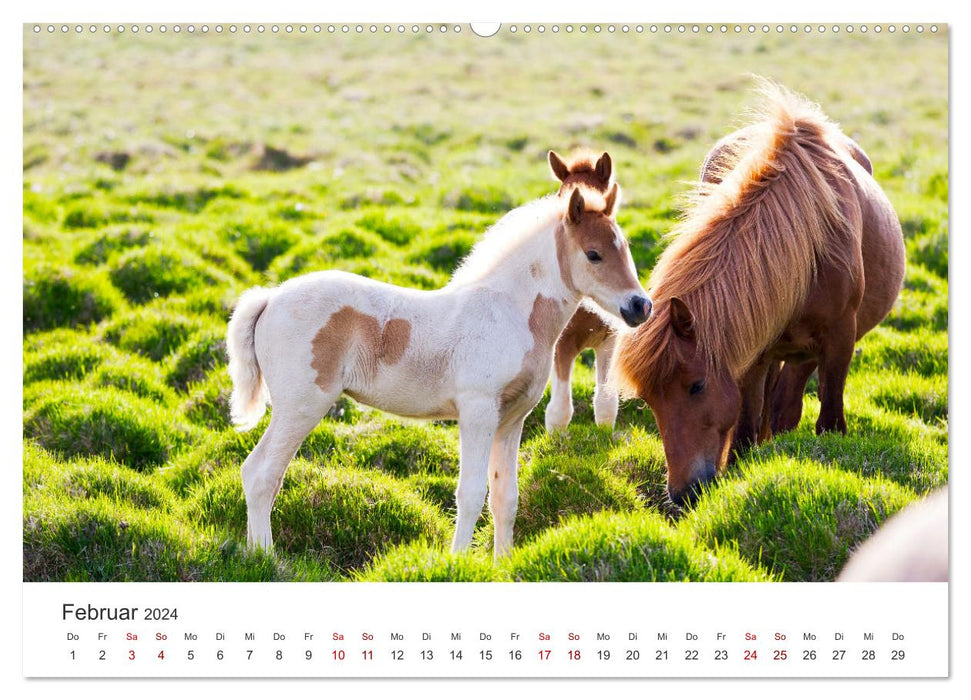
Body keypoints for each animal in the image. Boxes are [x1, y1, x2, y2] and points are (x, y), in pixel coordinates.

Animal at [228, 185, 652, 556]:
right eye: (593, 254)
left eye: (625, 247)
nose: (640, 306)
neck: (510, 313)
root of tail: (270, 298)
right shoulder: (478, 413)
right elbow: (471, 493)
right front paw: (458, 561)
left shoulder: (512, 420)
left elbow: (505, 497)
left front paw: (502, 563)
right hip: (300, 407)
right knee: (262, 474)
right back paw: (269, 558)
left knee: (255, 473)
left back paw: (253, 554)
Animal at [616, 85, 904, 506]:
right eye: (650, 401)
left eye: (696, 386)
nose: (682, 493)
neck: (808, 245)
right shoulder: (754, 352)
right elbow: (746, 433)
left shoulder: (839, 339)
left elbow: (829, 421)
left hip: (808, 351)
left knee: (788, 406)